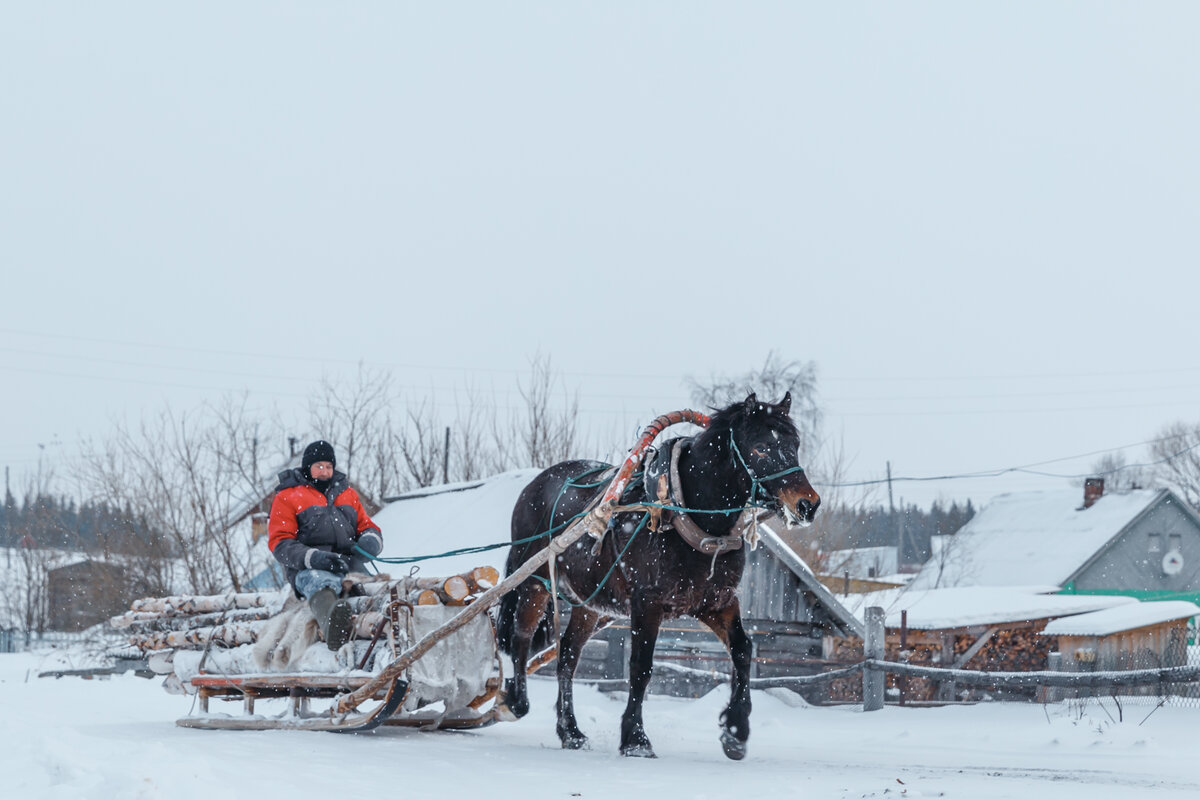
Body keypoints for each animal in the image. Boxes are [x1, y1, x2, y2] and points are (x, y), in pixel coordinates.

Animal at [492, 398, 820, 762]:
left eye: (795, 444)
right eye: (761, 447)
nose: (808, 504)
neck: (687, 512)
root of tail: (535, 484)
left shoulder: (716, 601)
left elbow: (743, 650)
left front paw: (735, 731)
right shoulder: (647, 602)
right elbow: (641, 666)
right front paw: (635, 738)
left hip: (588, 603)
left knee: (567, 658)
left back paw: (571, 731)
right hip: (535, 581)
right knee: (521, 638)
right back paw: (516, 702)